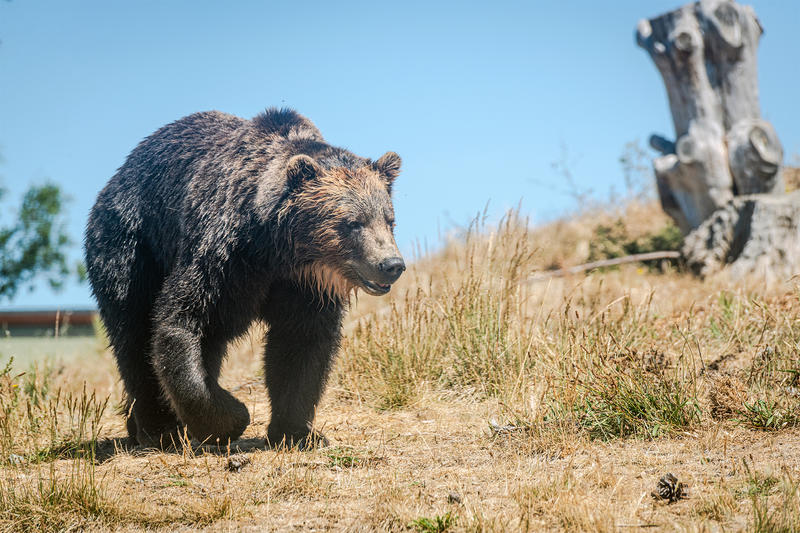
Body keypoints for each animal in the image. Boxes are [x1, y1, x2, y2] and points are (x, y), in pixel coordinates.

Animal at [84, 108, 405, 448]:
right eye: (353, 222)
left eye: (389, 220)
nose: (391, 264)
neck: (277, 250)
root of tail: (114, 181)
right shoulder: (225, 258)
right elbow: (182, 319)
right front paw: (230, 417)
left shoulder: (301, 288)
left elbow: (299, 345)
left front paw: (297, 431)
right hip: (131, 245)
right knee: (132, 330)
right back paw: (158, 428)